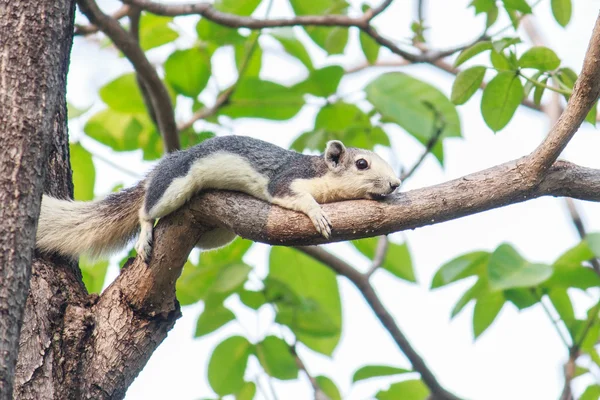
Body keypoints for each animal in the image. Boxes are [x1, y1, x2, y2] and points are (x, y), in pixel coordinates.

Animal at [37, 136, 404, 260]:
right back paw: (144, 233)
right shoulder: (286, 181)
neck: (320, 172)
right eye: (362, 164)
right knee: (147, 209)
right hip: (173, 184)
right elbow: (296, 197)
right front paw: (318, 213)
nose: (396, 183)